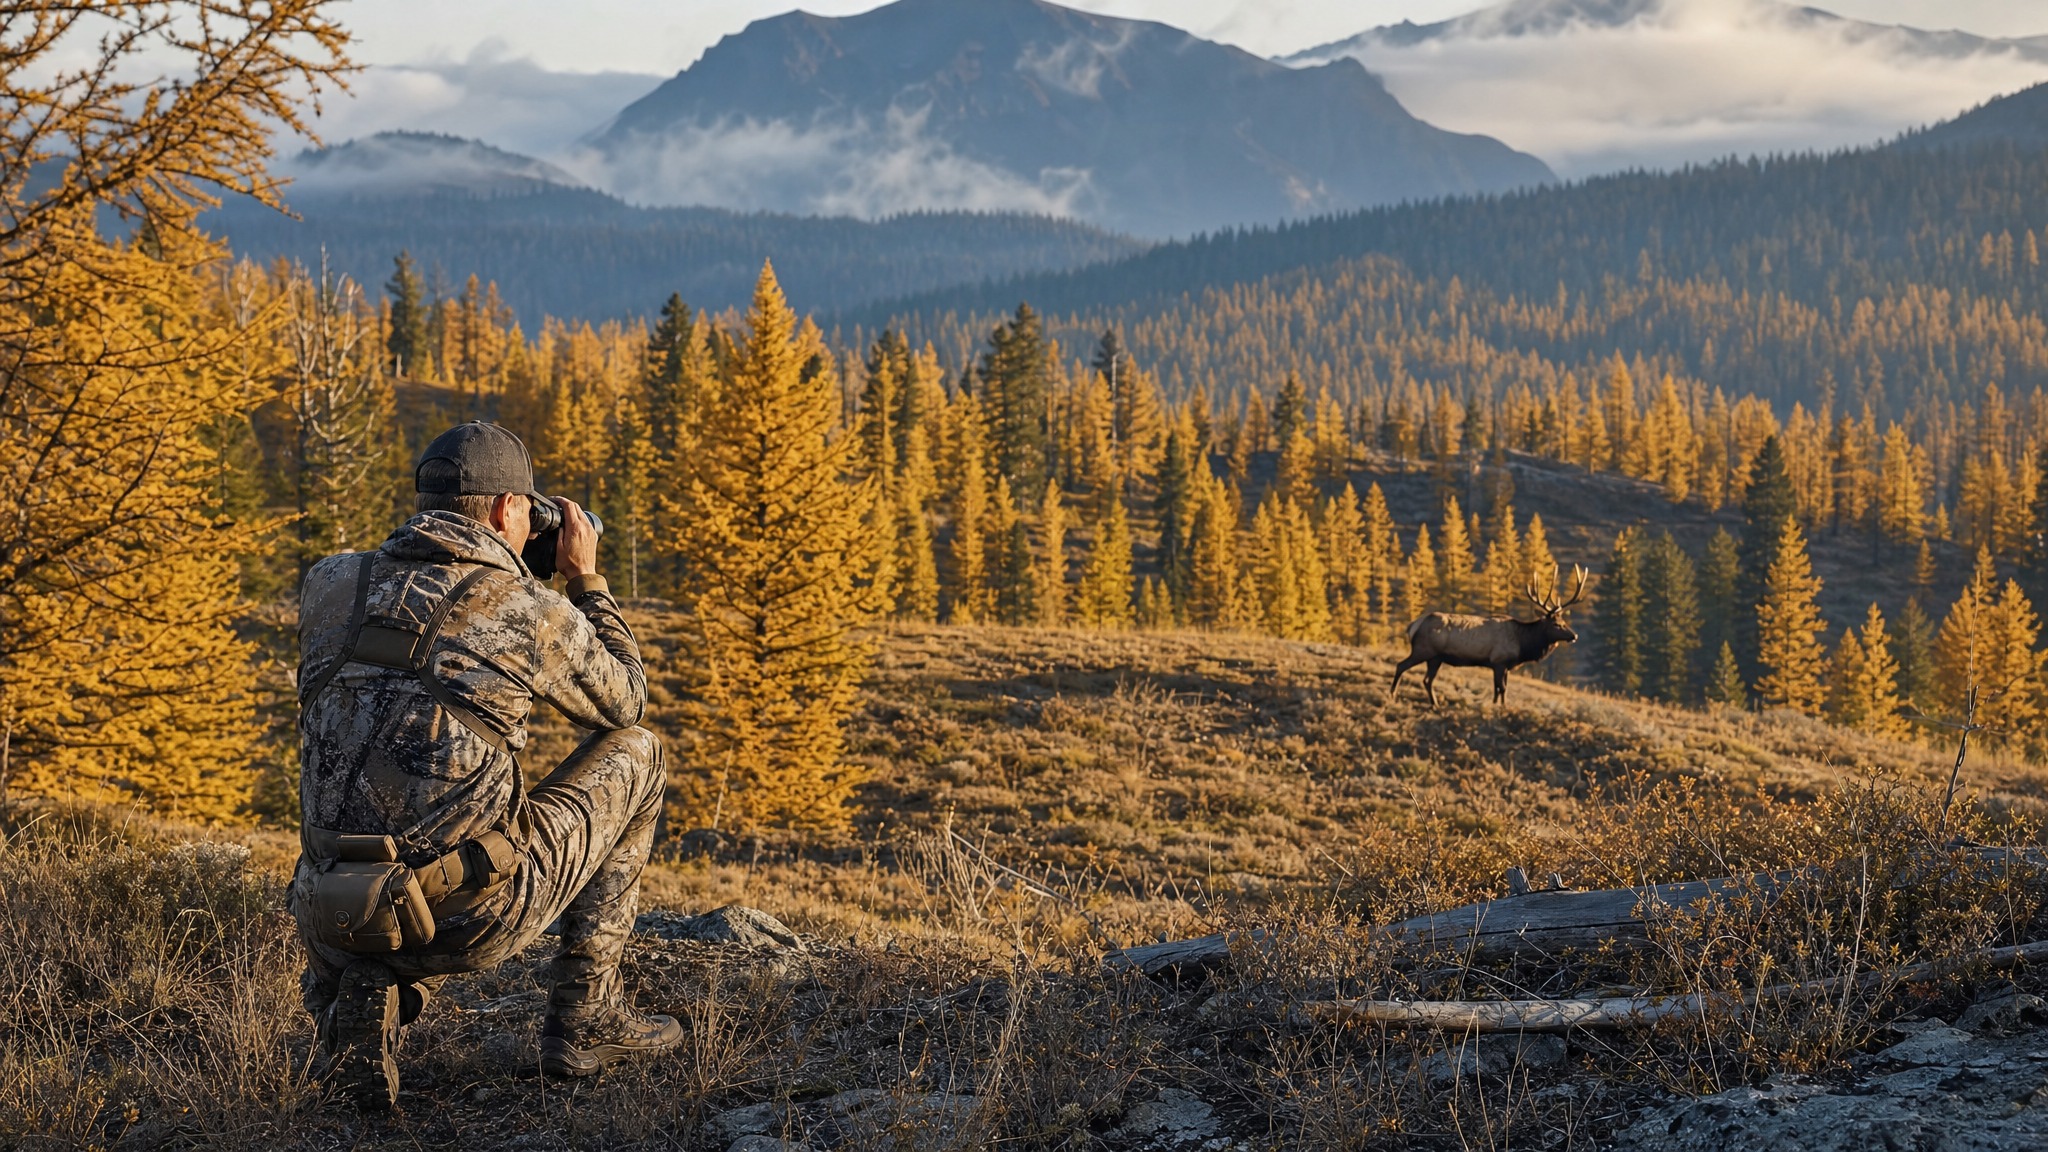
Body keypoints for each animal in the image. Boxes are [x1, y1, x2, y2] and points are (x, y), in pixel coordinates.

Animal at [1391, 565, 1589, 708]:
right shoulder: (1499, 661)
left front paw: (1498, 706)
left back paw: (1435, 705)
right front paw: (1501, 708)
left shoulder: (1502, 665)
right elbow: (1501, 688)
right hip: (1423, 650)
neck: (1523, 645)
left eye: (1564, 621)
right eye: (1557, 624)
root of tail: (1413, 625)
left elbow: (1500, 688)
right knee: (1401, 665)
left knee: (1427, 680)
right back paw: (1392, 695)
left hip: (1435, 658)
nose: (1574, 635)